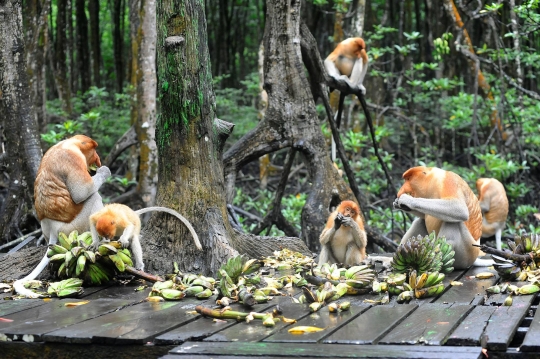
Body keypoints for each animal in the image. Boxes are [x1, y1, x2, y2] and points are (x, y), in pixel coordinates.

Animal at [14, 135, 110, 298]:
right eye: (94, 150)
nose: (98, 160)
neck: (69, 144)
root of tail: (53, 229)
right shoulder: (73, 159)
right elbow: (82, 191)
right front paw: (104, 170)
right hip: (74, 226)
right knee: (94, 197)